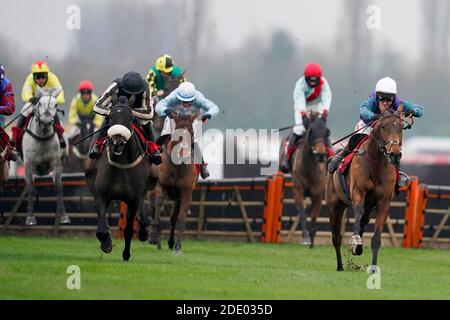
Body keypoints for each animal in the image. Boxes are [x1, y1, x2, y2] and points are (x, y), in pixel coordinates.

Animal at [22, 87, 71, 226]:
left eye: (56, 105)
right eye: (39, 103)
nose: (46, 121)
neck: (42, 137)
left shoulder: (56, 163)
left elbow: (58, 187)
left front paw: (64, 216)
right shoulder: (28, 165)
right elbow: (31, 188)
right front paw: (30, 217)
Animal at [85, 95, 157, 260]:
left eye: (130, 118)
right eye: (110, 117)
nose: (117, 143)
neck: (121, 162)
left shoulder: (134, 198)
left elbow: (129, 229)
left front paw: (126, 254)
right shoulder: (101, 194)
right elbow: (101, 229)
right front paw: (106, 243)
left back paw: (144, 230)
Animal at [148, 111, 199, 254]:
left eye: (192, 132)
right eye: (177, 132)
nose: (183, 152)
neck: (178, 165)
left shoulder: (186, 192)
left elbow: (180, 218)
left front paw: (177, 247)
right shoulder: (162, 186)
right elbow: (158, 205)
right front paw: (154, 237)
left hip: (177, 198)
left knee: (173, 218)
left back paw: (170, 243)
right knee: (153, 211)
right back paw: (155, 240)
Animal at [282, 112, 330, 248]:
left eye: (327, 132)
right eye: (311, 132)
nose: (321, 155)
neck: (309, 169)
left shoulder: (318, 195)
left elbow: (313, 217)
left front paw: (312, 240)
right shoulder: (298, 191)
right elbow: (303, 215)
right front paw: (305, 238)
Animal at [326, 111, 410, 272]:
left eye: (401, 127)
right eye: (383, 126)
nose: (395, 154)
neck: (377, 162)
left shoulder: (384, 202)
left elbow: (376, 239)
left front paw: (373, 268)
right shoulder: (358, 193)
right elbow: (357, 213)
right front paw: (355, 241)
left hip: (369, 207)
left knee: (363, 222)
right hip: (335, 205)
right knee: (336, 237)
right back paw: (340, 266)